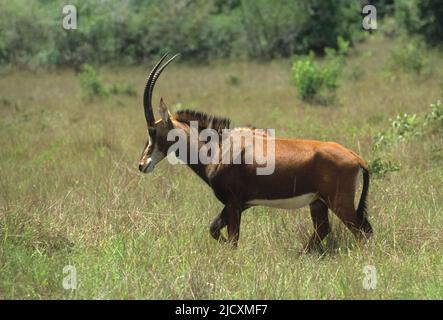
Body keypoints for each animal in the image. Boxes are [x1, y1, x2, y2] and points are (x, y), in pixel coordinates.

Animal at [137, 53, 372, 252]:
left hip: (338, 202)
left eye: (153, 131)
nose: (142, 164)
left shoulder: (233, 202)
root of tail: (356, 158)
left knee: (362, 231)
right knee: (325, 229)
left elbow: (232, 238)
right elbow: (213, 229)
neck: (219, 148)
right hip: (318, 202)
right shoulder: (241, 204)